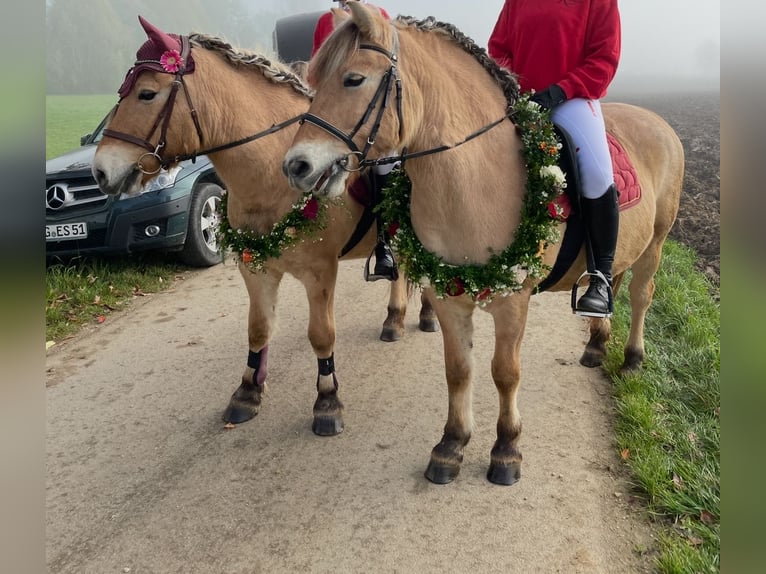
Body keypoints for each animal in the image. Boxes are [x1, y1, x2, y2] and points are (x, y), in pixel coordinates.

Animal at [91, 16, 438, 435]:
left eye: (146, 94)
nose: (100, 171)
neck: (272, 172)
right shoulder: (255, 267)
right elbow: (259, 328)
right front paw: (247, 392)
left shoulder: (319, 271)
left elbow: (321, 335)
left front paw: (327, 401)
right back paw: (394, 318)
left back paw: (426, 315)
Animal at [282, 4, 684, 484]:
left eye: (353, 79)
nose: (296, 166)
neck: (475, 176)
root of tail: (657, 121)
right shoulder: (447, 294)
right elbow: (458, 371)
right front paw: (451, 445)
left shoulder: (514, 301)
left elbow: (505, 373)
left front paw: (506, 450)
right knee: (615, 281)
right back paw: (595, 343)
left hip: (657, 242)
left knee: (641, 294)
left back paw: (632, 358)